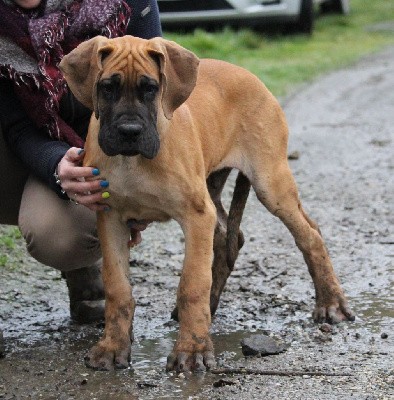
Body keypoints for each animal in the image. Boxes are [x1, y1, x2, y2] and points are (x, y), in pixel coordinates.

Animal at [60, 34, 356, 372]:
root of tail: (250, 75)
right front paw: (112, 347)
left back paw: (331, 303)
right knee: (229, 237)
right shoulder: (110, 218)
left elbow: (192, 283)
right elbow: (117, 287)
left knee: (310, 234)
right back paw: (210, 308)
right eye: (107, 87)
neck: (132, 161)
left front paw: (192, 351)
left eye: (151, 88)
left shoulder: (196, 214)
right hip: (213, 186)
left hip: (270, 182)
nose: (129, 132)